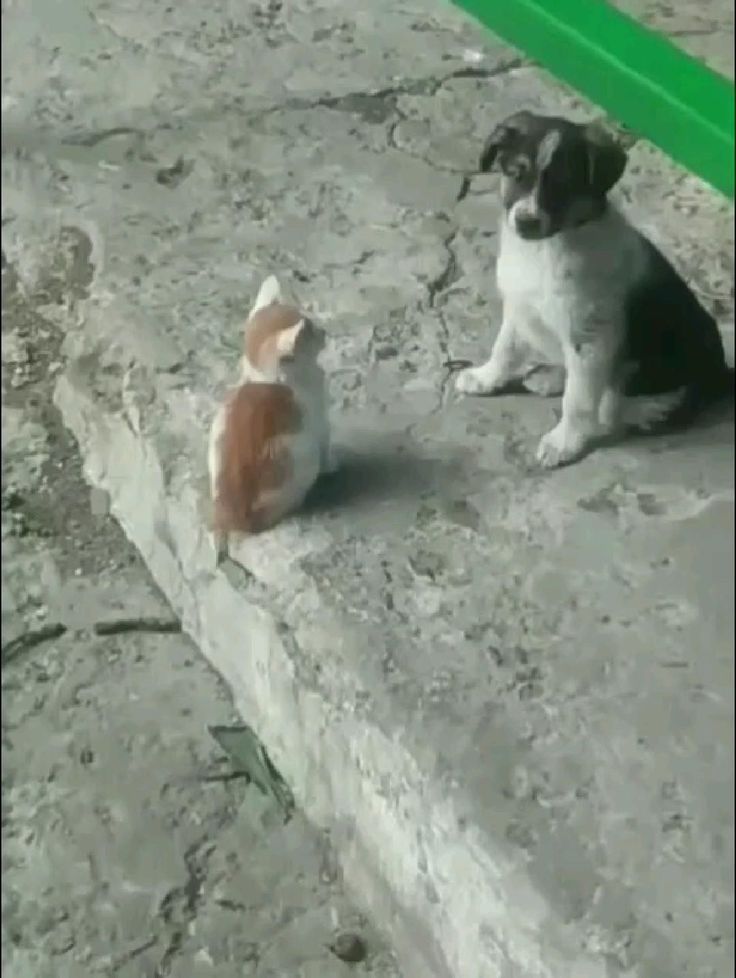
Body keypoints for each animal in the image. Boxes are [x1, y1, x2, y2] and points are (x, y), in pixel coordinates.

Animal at [207, 274, 334, 552]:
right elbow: (327, 443)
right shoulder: (320, 417)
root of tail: (232, 516)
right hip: (301, 452)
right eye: (311, 331)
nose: (325, 332)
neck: (267, 378)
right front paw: (332, 467)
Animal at [458, 108, 732, 468]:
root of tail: (722, 376)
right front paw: (486, 378)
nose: (526, 222)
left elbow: (578, 400)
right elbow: (504, 349)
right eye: (516, 174)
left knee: (620, 406)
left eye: (562, 184)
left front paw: (564, 442)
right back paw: (550, 376)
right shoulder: (519, 307)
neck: (544, 249)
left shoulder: (590, 339)